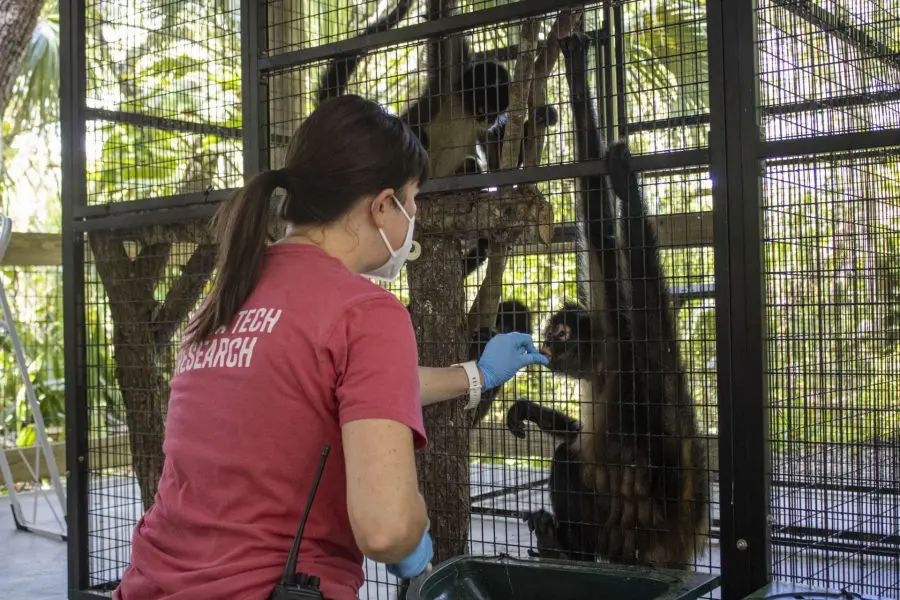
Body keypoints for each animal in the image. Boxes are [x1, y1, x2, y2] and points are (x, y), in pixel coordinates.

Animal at [502, 31, 708, 568]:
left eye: (559, 332)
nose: (546, 346)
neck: (599, 371)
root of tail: (669, 535)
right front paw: (529, 409)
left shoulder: (618, 335)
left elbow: (599, 228)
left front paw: (579, 75)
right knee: (572, 445)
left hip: (621, 529)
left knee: (569, 457)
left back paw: (569, 549)